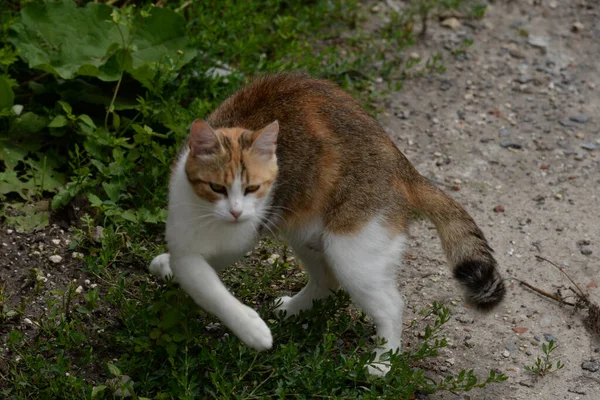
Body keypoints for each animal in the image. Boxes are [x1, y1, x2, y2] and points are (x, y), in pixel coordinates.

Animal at [148, 72, 504, 376]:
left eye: (253, 188)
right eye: (217, 188)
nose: (236, 212)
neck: (211, 219)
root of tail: (403, 166)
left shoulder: (246, 231)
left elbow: (206, 282)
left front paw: (251, 329)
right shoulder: (186, 229)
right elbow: (194, 265)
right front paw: (169, 266)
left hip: (350, 248)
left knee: (390, 305)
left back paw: (382, 362)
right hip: (307, 234)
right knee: (327, 283)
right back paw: (293, 309)